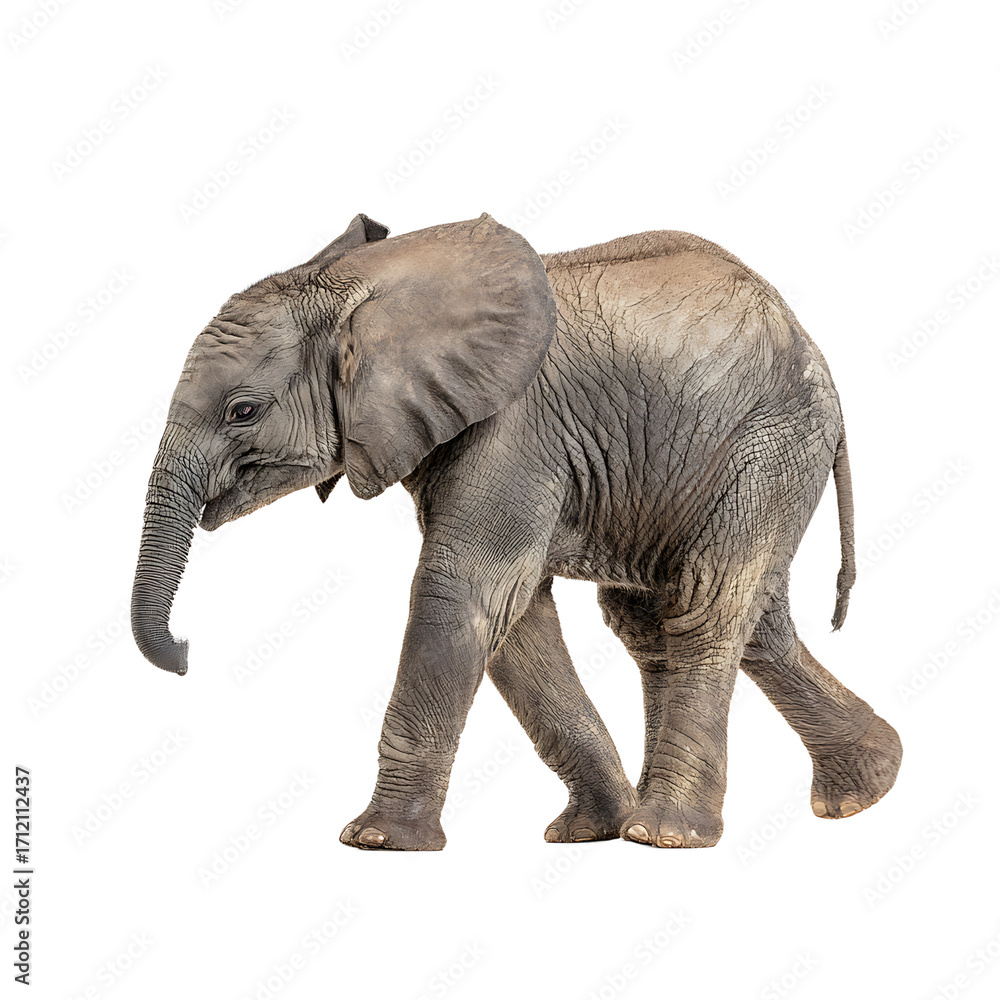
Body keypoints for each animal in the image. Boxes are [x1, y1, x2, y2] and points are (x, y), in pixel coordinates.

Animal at [131, 212, 902, 851]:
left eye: (243, 411)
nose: (187, 652)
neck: (371, 280)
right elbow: (516, 615)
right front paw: (588, 831)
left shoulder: (514, 428)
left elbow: (462, 591)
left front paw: (376, 841)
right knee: (703, 623)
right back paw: (859, 791)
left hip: (769, 442)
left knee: (704, 607)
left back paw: (666, 833)